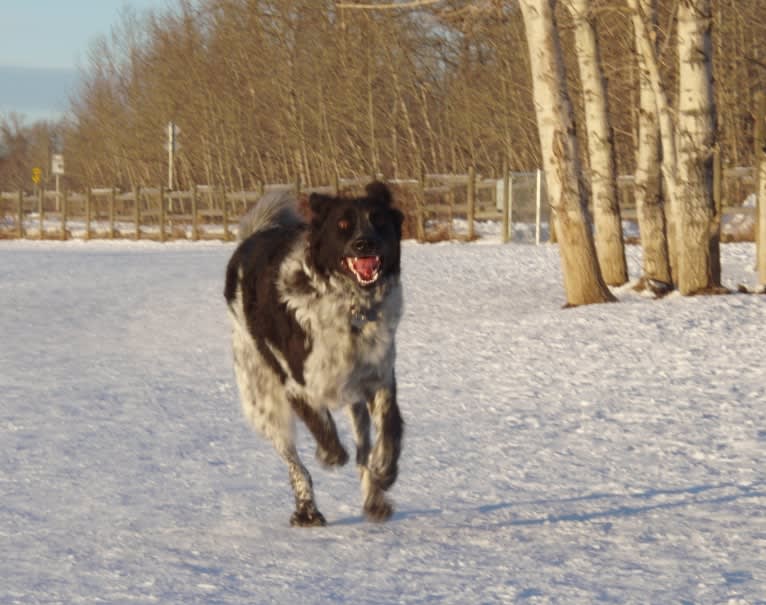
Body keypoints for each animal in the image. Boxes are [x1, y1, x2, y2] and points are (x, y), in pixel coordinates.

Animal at [226, 182, 408, 528]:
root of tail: (254, 236)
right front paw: (329, 455)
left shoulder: (377, 378)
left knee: (362, 449)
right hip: (263, 402)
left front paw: (385, 469)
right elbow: (320, 424)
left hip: (352, 399)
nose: (364, 243)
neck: (352, 307)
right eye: (343, 225)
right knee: (295, 463)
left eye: (378, 220)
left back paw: (374, 499)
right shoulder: (297, 383)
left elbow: (389, 428)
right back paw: (307, 509)